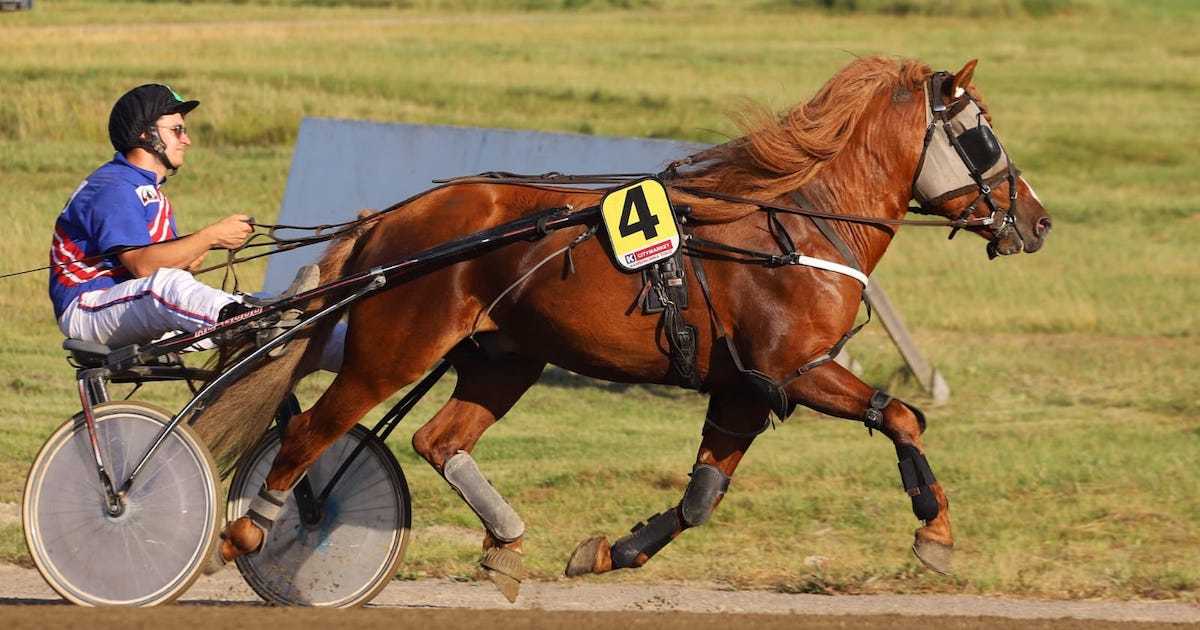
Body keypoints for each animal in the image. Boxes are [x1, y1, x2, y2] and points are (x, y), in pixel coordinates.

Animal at [196, 57, 1051, 600]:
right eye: (984, 135)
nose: (1038, 221)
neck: (799, 224)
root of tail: (388, 220)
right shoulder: (794, 371)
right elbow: (902, 414)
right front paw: (935, 533)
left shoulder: (743, 389)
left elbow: (702, 496)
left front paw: (609, 551)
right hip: (393, 352)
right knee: (311, 432)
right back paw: (249, 537)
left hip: (505, 357)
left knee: (438, 440)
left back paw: (506, 546)